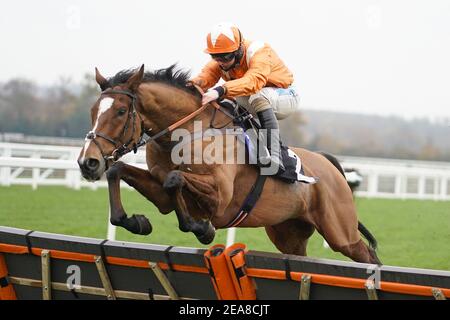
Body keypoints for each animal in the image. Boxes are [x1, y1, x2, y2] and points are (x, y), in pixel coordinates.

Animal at [77, 63, 380, 264]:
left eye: (121, 111)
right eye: (92, 111)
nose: (87, 162)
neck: (186, 133)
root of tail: (329, 164)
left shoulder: (221, 197)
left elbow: (175, 179)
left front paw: (201, 228)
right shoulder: (162, 195)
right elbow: (120, 171)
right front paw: (136, 222)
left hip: (340, 232)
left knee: (368, 255)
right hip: (289, 234)